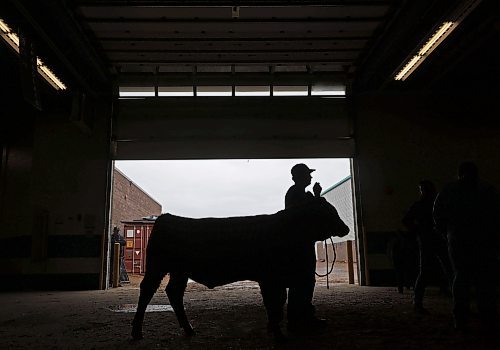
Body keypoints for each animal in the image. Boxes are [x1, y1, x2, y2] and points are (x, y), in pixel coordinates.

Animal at [131, 198, 350, 340]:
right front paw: (277, 332)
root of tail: (167, 217)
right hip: (157, 266)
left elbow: (277, 303)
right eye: (329, 212)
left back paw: (189, 329)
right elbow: (274, 304)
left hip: (180, 271)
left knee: (174, 293)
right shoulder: (270, 278)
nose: (346, 228)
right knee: (147, 291)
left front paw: (274, 329)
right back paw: (136, 332)